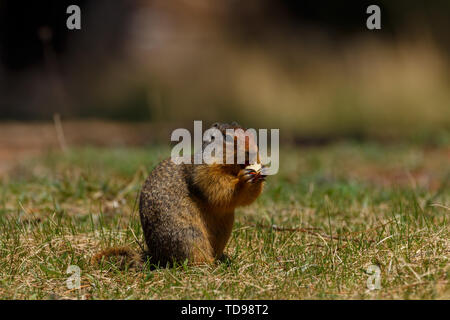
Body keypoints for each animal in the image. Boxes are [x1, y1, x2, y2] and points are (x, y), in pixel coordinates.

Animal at [93, 122, 266, 268]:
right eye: (229, 138)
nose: (253, 152)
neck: (232, 170)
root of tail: (157, 259)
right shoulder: (202, 171)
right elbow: (217, 187)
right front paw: (244, 179)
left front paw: (261, 172)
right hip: (189, 235)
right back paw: (210, 264)